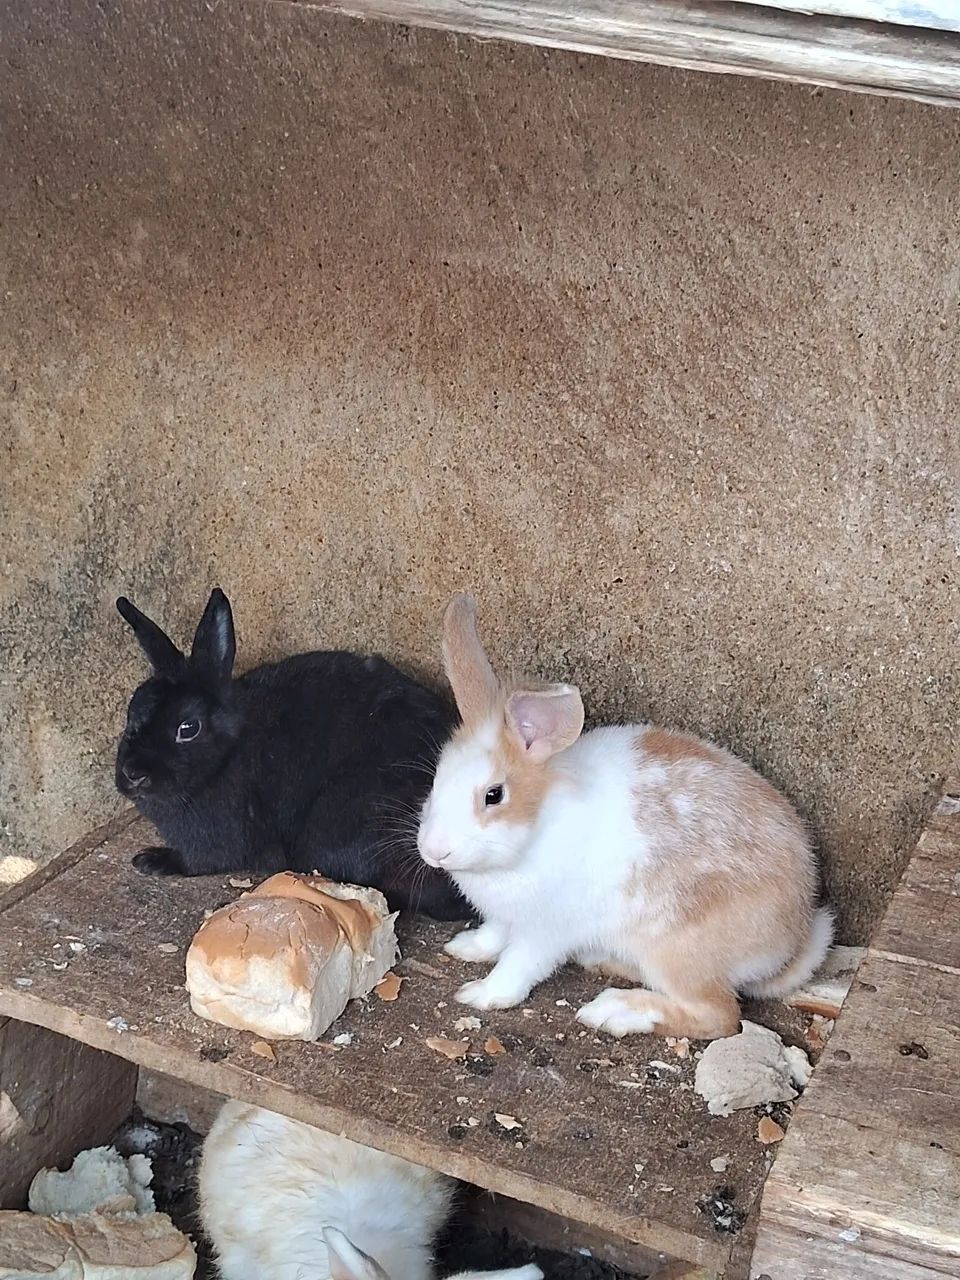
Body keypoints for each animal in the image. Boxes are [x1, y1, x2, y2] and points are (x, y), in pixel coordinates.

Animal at [114, 588, 472, 920]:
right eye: (132, 710)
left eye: (187, 728)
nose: (132, 775)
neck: (227, 754)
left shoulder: (218, 838)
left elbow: (199, 860)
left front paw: (152, 860)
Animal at [416, 594, 834, 1040]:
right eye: (436, 778)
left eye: (493, 795)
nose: (434, 851)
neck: (539, 824)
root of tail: (791, 940)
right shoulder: (503, 916)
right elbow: (494, 935)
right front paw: (466, 948)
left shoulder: (545, 929)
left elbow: (518, 965)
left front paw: (481, 994)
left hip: (674, 951)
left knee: (719, 1015)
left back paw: (615, 1010)